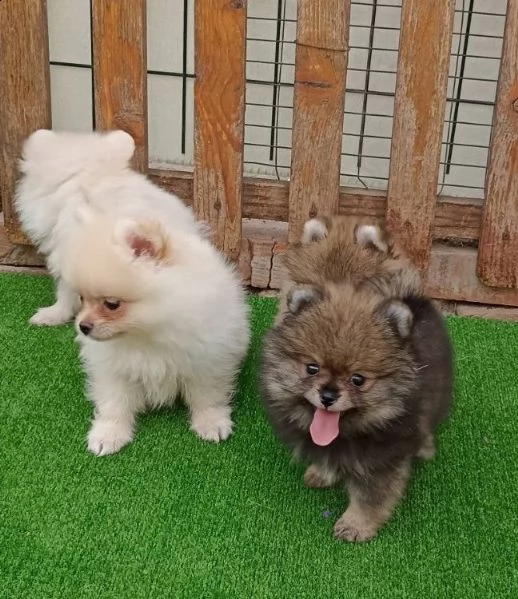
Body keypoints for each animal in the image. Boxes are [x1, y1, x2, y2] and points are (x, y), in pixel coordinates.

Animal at [262, 227, 452, 548]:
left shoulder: (380, 462)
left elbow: (369, 498)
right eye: (311, 368)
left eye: (358, 379)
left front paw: (355, 525)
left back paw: (425, 447)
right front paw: (323, 474)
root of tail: (412, 296)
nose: (328, 395)